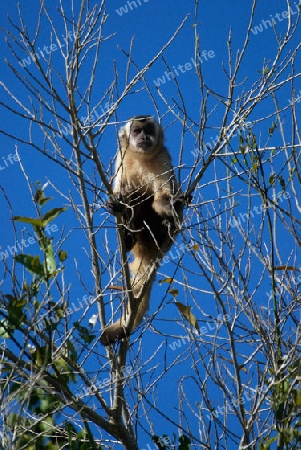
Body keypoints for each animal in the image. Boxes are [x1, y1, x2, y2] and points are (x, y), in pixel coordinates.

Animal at [101, 115, 184, 344]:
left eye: (148, 130)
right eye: (137, 131)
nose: (144, 137)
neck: (141, 158)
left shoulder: (163, 157)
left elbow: (161, 198)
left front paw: (171, 205)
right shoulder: (121, 158)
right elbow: (120, 192)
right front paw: (116, 204)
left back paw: (165, 228)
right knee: (133, 193)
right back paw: (128, 237)